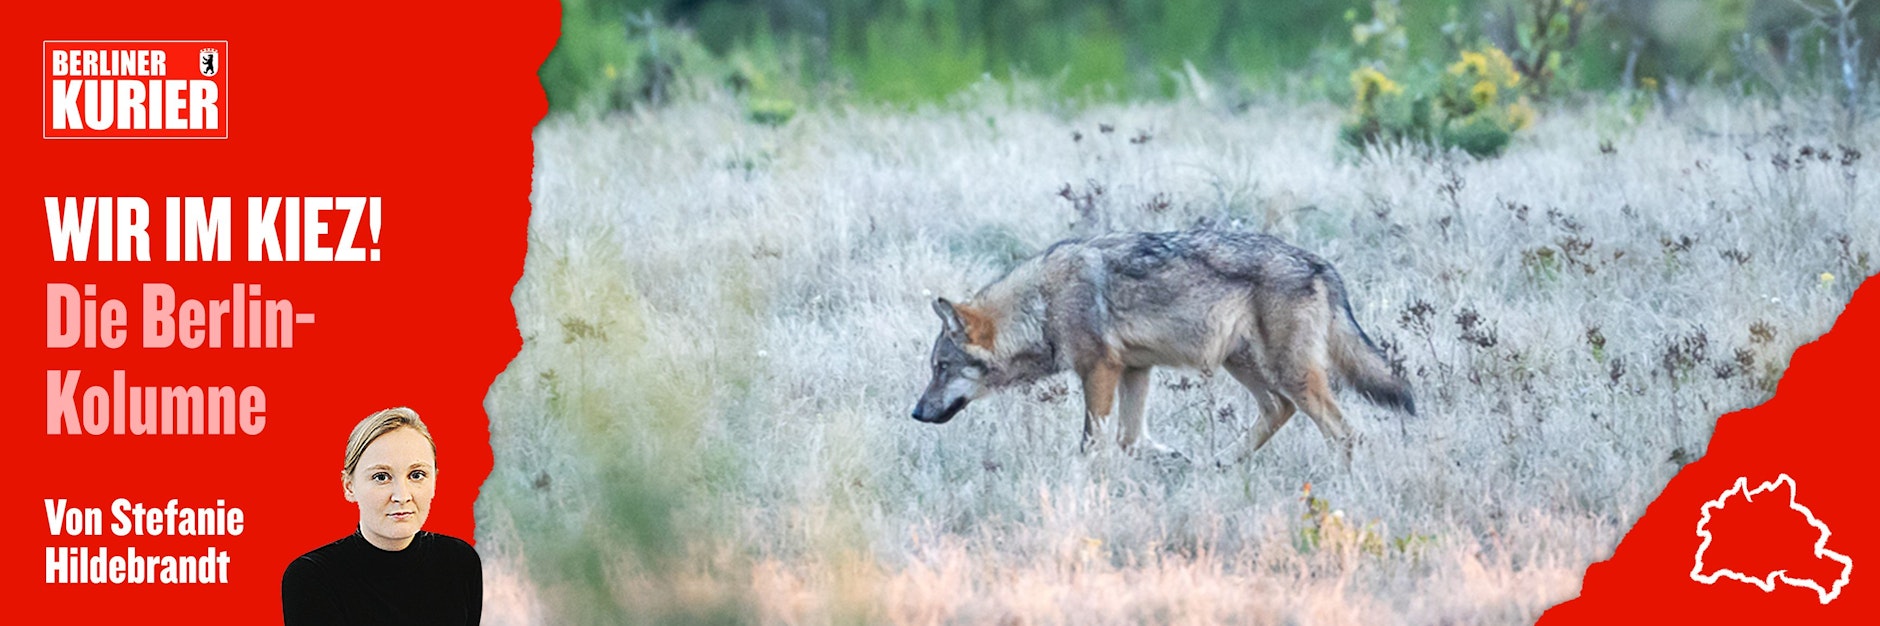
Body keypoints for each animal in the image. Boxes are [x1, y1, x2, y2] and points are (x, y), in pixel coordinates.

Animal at [910, 228, 1414, 464]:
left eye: (940, 367)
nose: (915, 413)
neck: (1043, 304)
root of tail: (1321, 264)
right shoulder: (1136, 370)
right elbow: (1132, 440)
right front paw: (1174, 460)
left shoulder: (1100, 371)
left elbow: (1093, 442)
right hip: (1244, 365)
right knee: (1278, 410)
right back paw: (1219, 462)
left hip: (1289, 374)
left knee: (1345, 433)